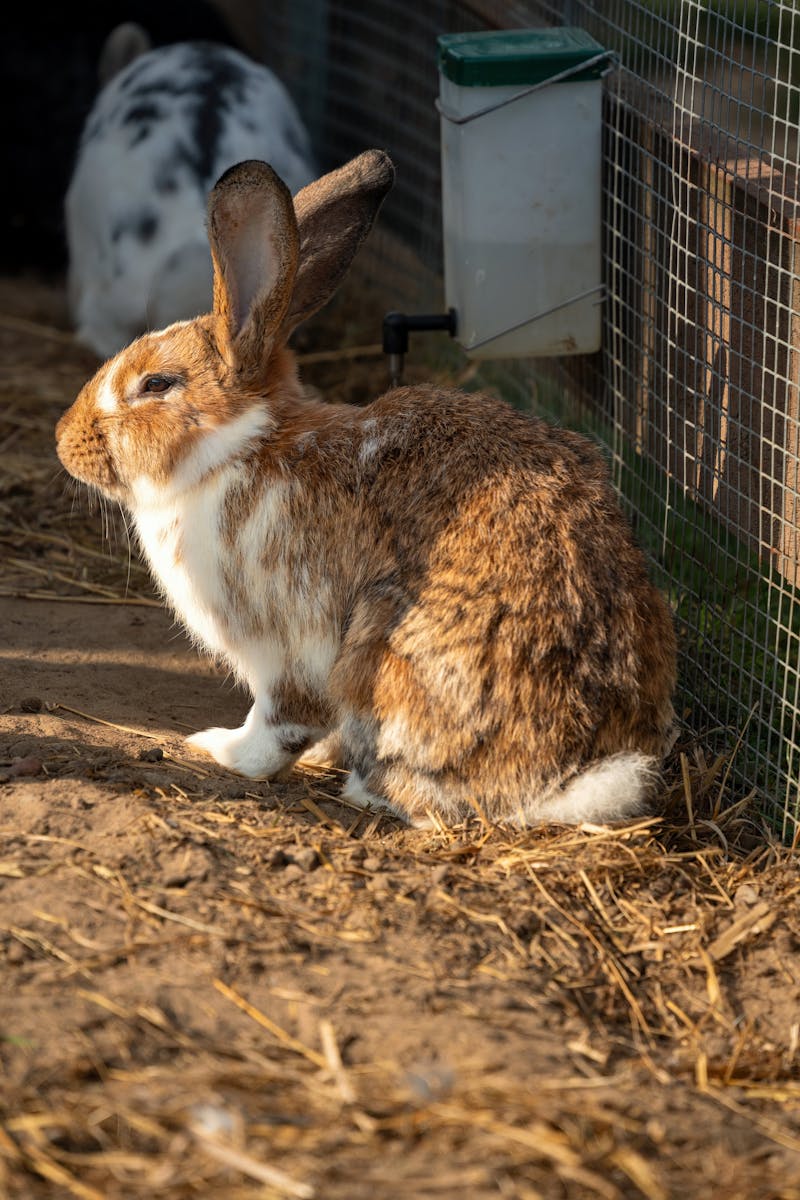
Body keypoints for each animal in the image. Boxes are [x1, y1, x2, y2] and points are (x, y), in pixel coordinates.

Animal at [56, 148, 677, 829]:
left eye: (156, 384)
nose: (64, 440)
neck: (237, 449)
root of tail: (570, 779)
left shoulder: (285, 647)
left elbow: (278, 724)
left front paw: (220, 750)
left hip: (377, 655)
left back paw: (362, 787)